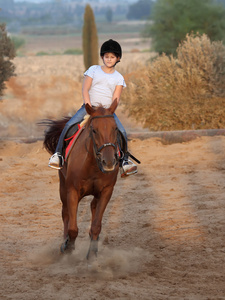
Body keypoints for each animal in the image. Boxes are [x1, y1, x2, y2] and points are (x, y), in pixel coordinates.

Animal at [42, 99, 119, 258]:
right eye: (94, 130)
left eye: (115, 129)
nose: (108, 162)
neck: (92, 165)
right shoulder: (72, 191)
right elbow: (72, 228)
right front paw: (68, 248)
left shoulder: (106, 192)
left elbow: (96, 225)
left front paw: (92, 255)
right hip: (63, 187)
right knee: (65, 213)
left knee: (93, 208)